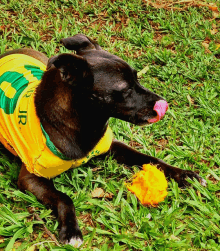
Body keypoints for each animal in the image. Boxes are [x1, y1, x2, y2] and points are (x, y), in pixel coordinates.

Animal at [0, 34, 205, 247]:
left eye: (137, 78)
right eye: (125, 89)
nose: (163, 104)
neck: (84, 125)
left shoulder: (113, 146)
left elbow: (150, 159)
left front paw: (184, 175)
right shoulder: (30, 178)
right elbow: (63, 198)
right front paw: (71, 230)